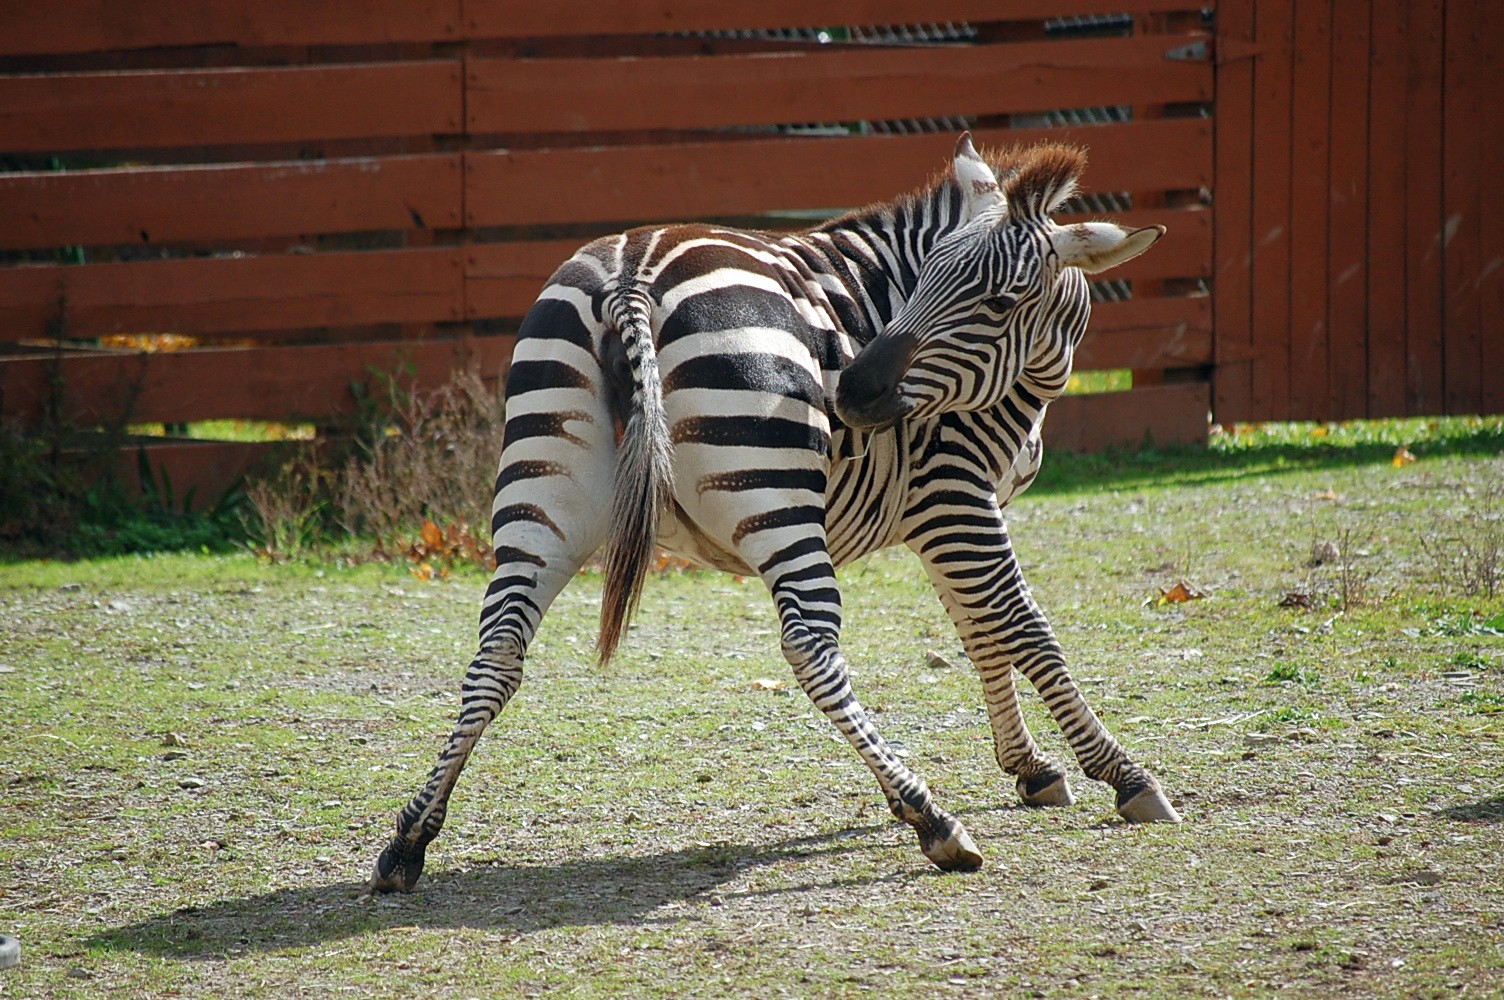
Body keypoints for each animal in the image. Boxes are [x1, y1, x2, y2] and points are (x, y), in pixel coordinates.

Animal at [369, 132, 1179, 890]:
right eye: (924, 282)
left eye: (999, 302)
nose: (851, 392)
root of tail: (631, 269)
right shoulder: (952, 494)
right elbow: (1026, 629)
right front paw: (1124, 774)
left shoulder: (938, 521)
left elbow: (981, 634)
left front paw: (1031, 766)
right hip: (778, 492)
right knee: (811, 645)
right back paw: (929, 816)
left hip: (541, 493)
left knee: (496, 650)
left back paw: (408, 839)